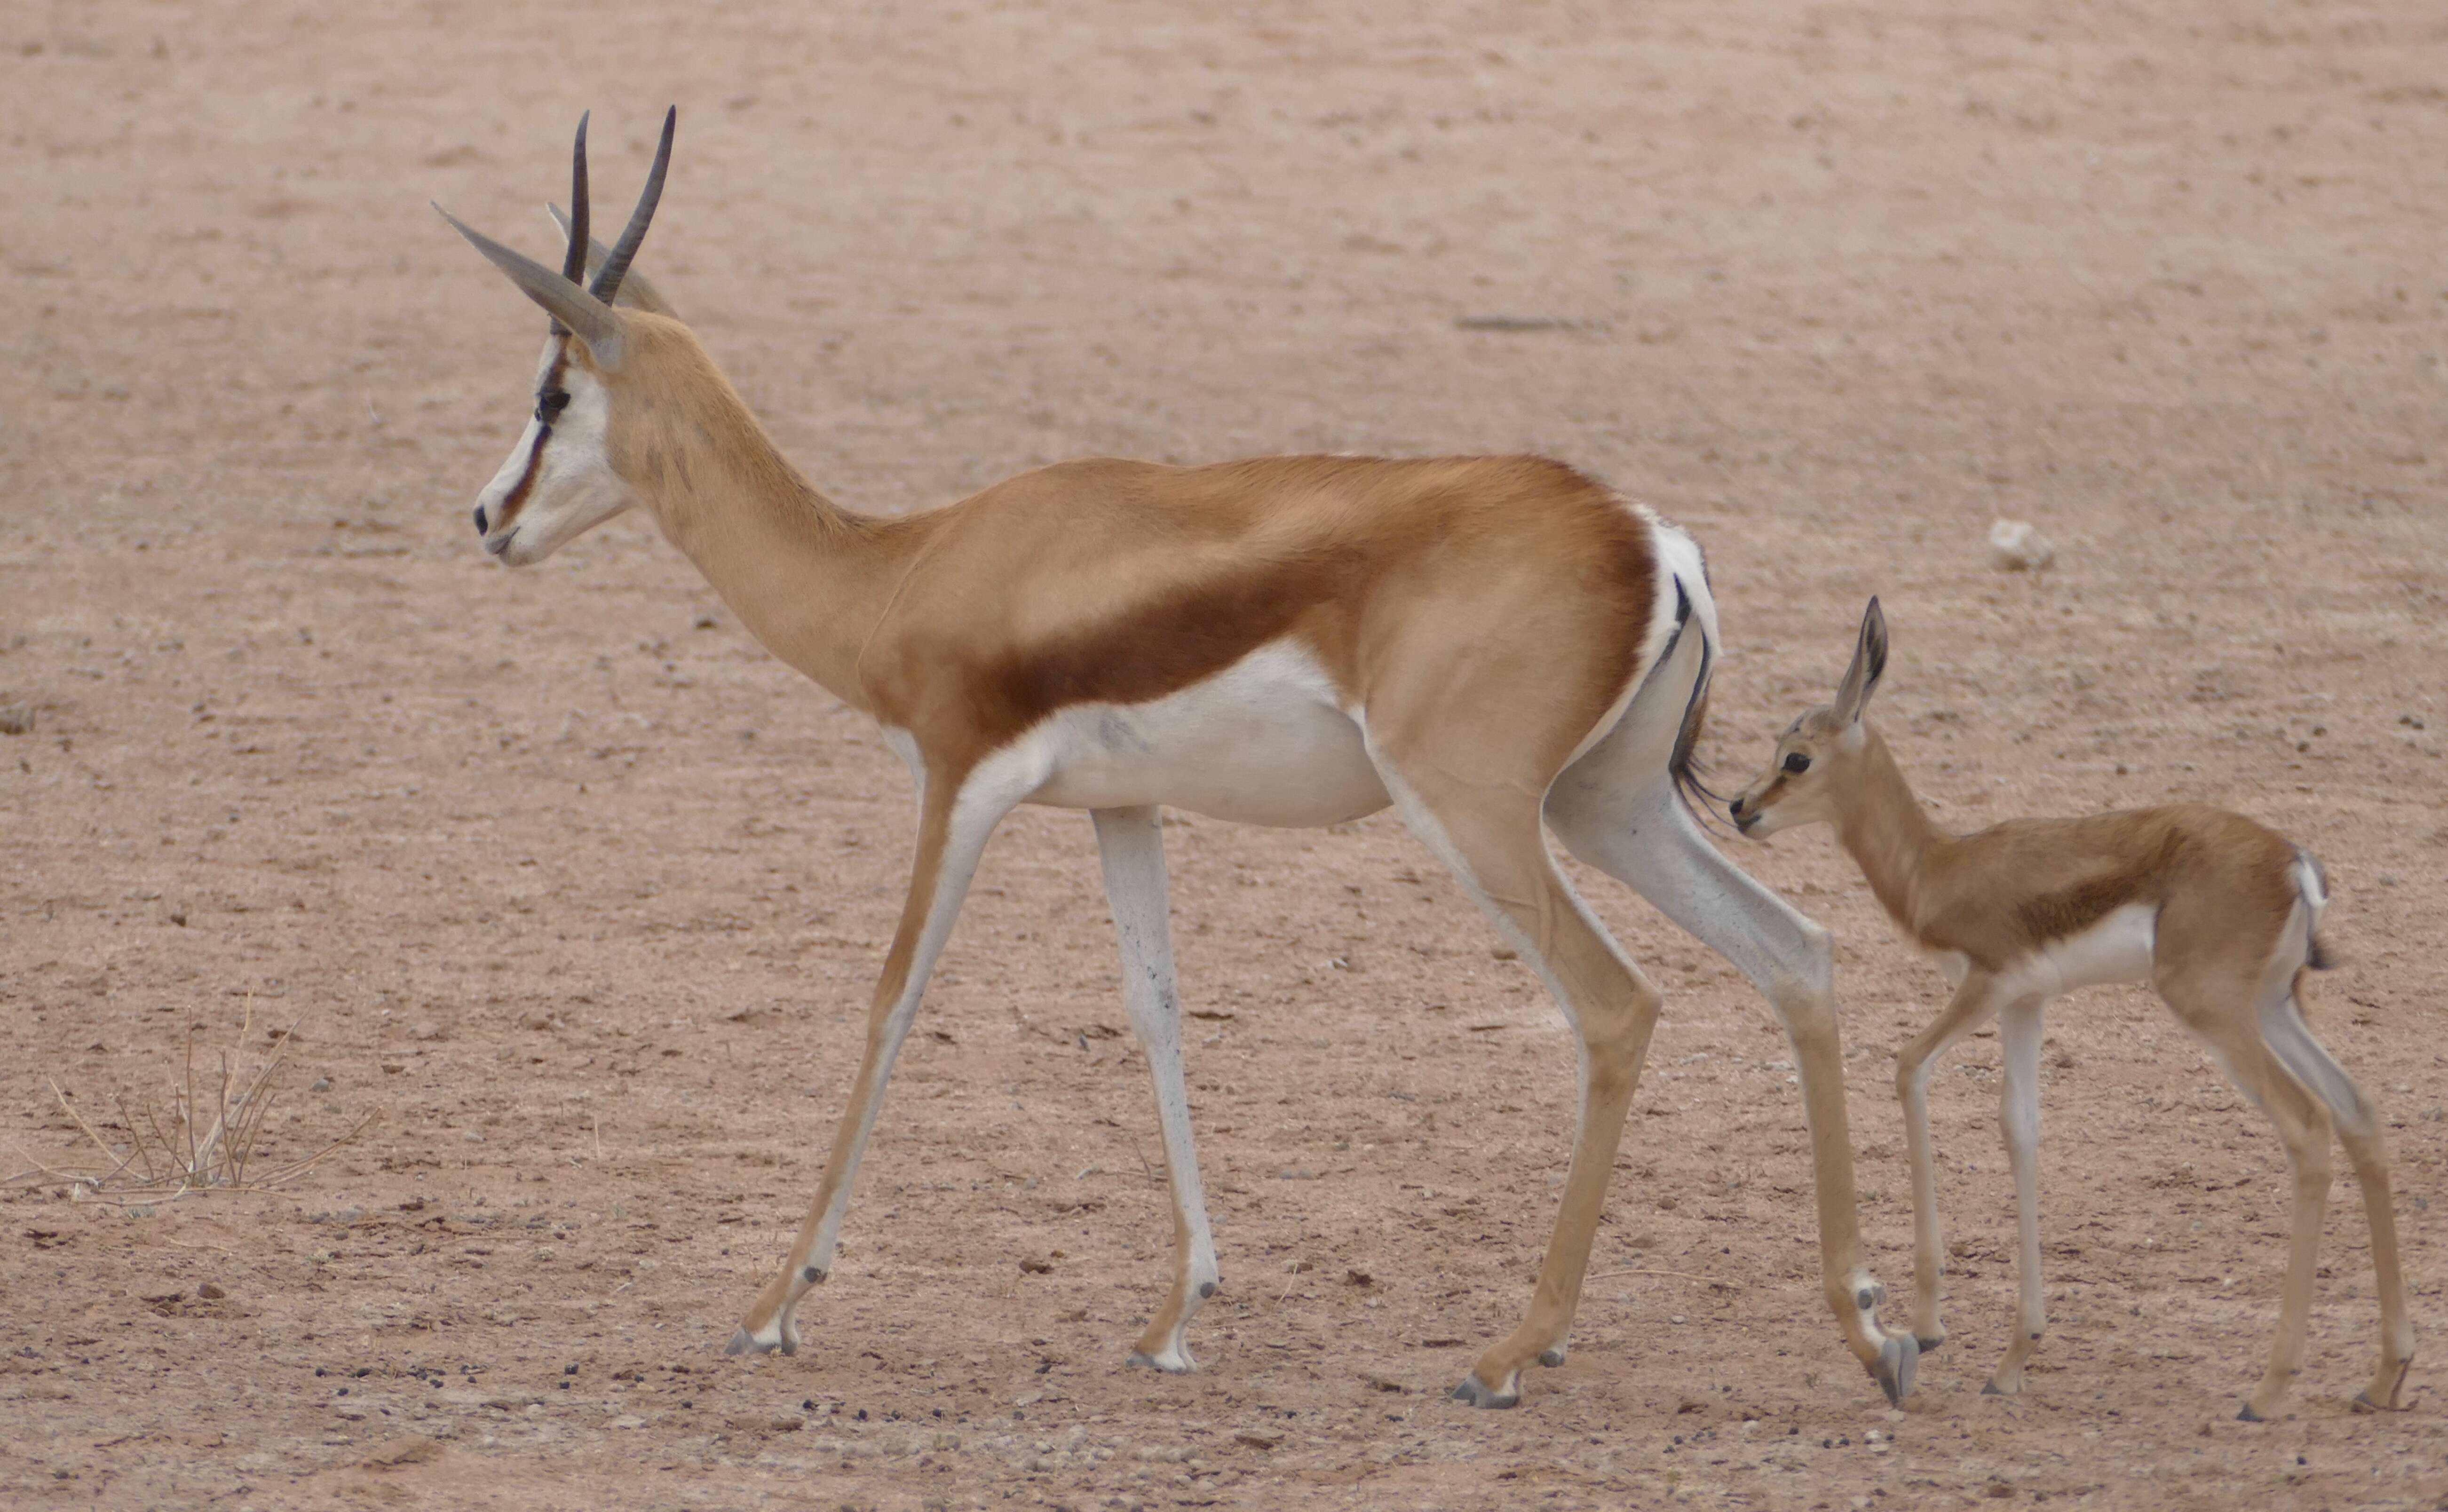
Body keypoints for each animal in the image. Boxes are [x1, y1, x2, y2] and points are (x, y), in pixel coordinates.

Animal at [436, 105, 1929, 1399]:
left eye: (552, 389)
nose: (487, 518)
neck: (902, 569)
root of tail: (1646, 537)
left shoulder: (957, 783)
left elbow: (891, 997)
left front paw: (770, 1302)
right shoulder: (1122, 809)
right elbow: (1155, 1008)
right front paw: (1174, 1313)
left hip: (1473, 811)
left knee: (1614, 1007)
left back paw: (1510, 1349)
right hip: (1601, 807)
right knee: (1795, 952)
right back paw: (1871, 1329)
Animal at [1723, 597, 2408, 1409]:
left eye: (1795, 757)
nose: (1739, 807)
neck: (1939, 868)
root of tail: (2292, 861)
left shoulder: (1984, 985)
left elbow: (1907, 1066)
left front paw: (1928, 1324)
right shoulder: (2027, 1001)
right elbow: (2019, 1128)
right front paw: (2016, 1351)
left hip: (2212, 1009)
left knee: (2306, 1127)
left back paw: (2268, 1389)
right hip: (2274, 1006)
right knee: (2358, 1110)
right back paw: (2385, 1374)